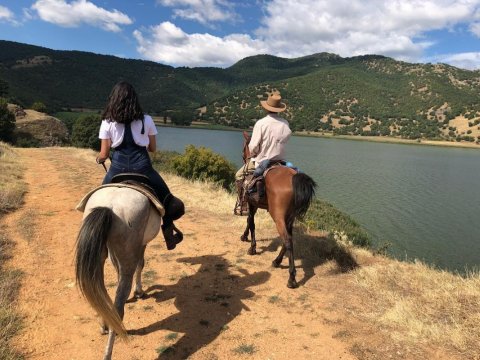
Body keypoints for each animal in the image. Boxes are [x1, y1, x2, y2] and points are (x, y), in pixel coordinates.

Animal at [75, 186, 163, 360]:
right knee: (118, 308)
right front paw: (138, 292)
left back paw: (104, 324)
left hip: (99, 258)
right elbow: (141, 264)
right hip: (128, 255)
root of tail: (109, 207)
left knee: (100, 291)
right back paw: (108, 351)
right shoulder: (141, 245)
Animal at [239, 131, 316, 288]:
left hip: (278, 216)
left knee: (287, 240)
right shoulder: (255, 204)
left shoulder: (251, 203)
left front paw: (252, 247)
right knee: (289, 238)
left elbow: (251, 222)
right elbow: (250, 222)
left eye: (244, 147)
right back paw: (277, 261)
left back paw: (291, 278)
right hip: (290, 217)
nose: (244, 157)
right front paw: (245, 237)